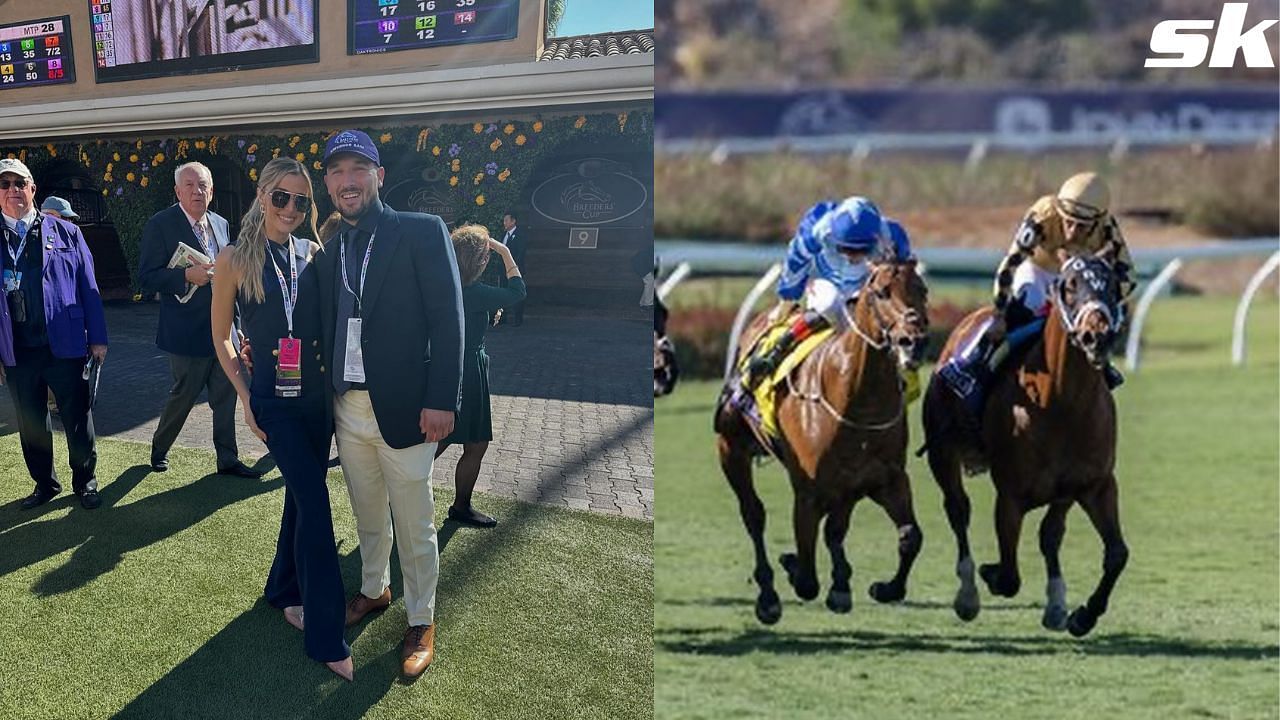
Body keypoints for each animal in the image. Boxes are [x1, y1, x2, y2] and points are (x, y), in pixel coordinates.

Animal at [716, 258, 926, 622]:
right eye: (882, 292)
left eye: (923, 289)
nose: (912, 341)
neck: (857, 399)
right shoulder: (809, 493)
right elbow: (806, 578)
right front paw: (792, 566)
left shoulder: (882, 480)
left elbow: (910, 536)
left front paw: (883, 588)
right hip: (731, 449)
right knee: (753, 514)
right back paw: (768, 595)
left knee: (834, 530)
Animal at [921, 254, 1131, 635]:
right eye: (1070, 285)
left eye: (1112, 285)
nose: (1097, 336)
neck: (1062, 401)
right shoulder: (1011, 496)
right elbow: (1008, 576)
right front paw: (988, 575)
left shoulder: (1092, 485)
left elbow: (1115, 553)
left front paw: (1081, 615)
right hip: (942, 453)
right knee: (958, 509)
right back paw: (968, 593)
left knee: (1051, 534)